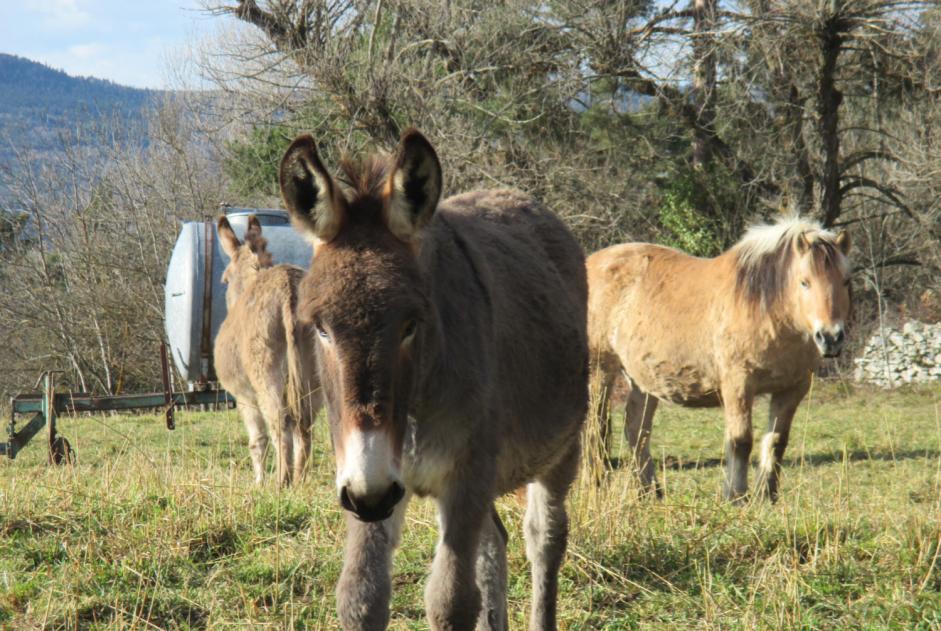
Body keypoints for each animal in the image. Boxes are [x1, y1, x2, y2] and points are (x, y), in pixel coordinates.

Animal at [212, 217, 322, 488]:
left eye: (224, 280)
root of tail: (288, 288)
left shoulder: (243, 396)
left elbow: (257, 441)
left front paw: (259, 482)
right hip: (317, 373)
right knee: (305, 424)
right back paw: (300, 480)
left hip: (266, 374)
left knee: (280, 423)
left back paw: (282, 481)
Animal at [280, 131, 588, 628]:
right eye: (321, 328)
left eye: (411, 325)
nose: (370, 494)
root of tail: (516, 194)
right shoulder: (368, 484)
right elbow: (360, 597)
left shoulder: (463, 475)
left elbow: (451, 601)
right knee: (493, 542)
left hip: (560, 448)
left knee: (544, 539)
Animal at [592, 218, 856, 504]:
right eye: (804, 282)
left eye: (845, 281)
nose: (830, 337)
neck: (766, 310)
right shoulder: (738, 384)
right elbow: (740, 441)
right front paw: (736, 495)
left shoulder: (792, 388)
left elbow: (776, 441)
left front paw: (767, 495)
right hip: (600, 372)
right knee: (597, 430)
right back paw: (598, 485)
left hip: (643, 379)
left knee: (636, 430)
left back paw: (651, 492)